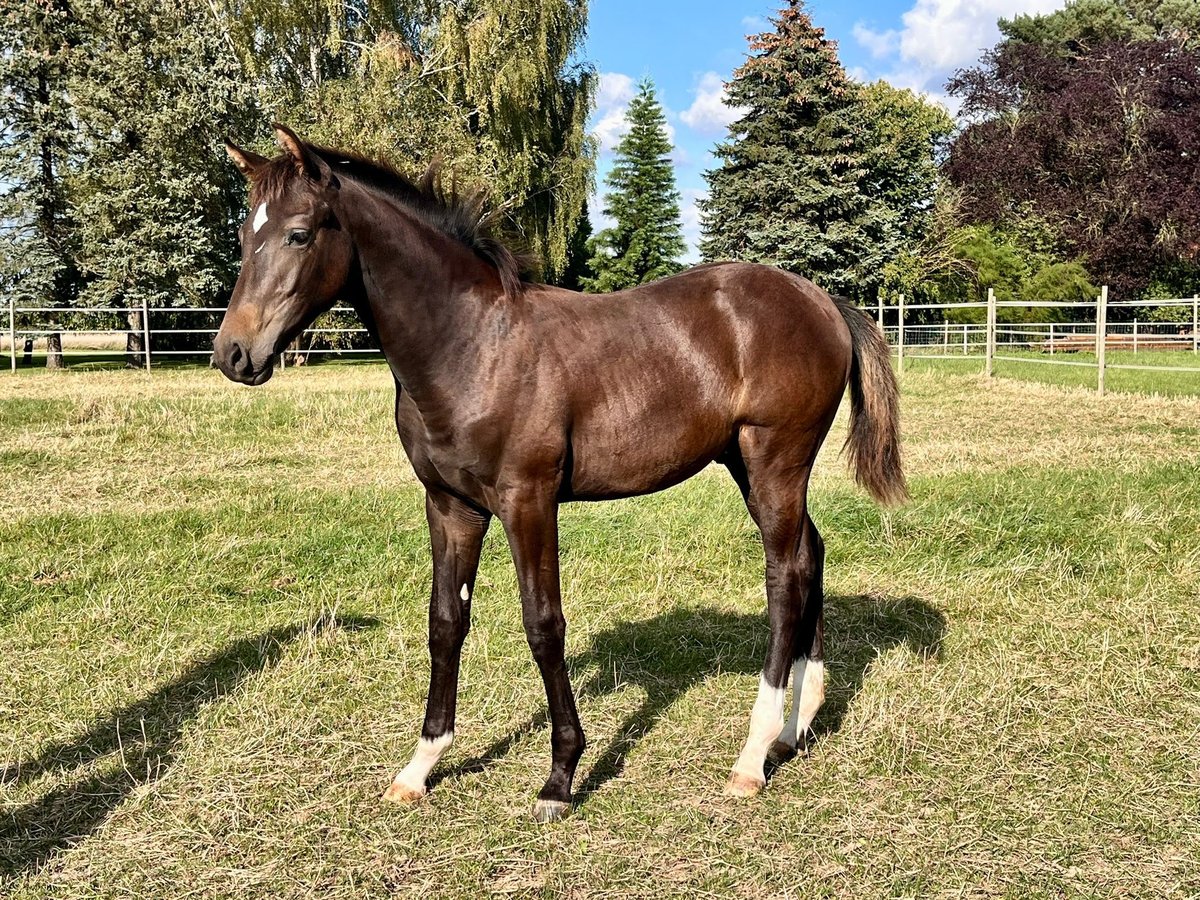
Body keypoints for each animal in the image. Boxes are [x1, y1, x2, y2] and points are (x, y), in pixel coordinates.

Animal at [218, 127, 907, 825]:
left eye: (299, 233)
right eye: (245, 235)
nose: (234, 354)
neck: (472, 344)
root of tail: (823, 300)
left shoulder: (528, 499)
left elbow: (543, 624)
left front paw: (560, 776)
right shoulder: (450, 505)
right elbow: (445, 623)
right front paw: (420, 766)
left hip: (774, 462)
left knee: (785, 576)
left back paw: (752, 756)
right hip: (750, 465)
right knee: (811, 554)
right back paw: (796, 728)